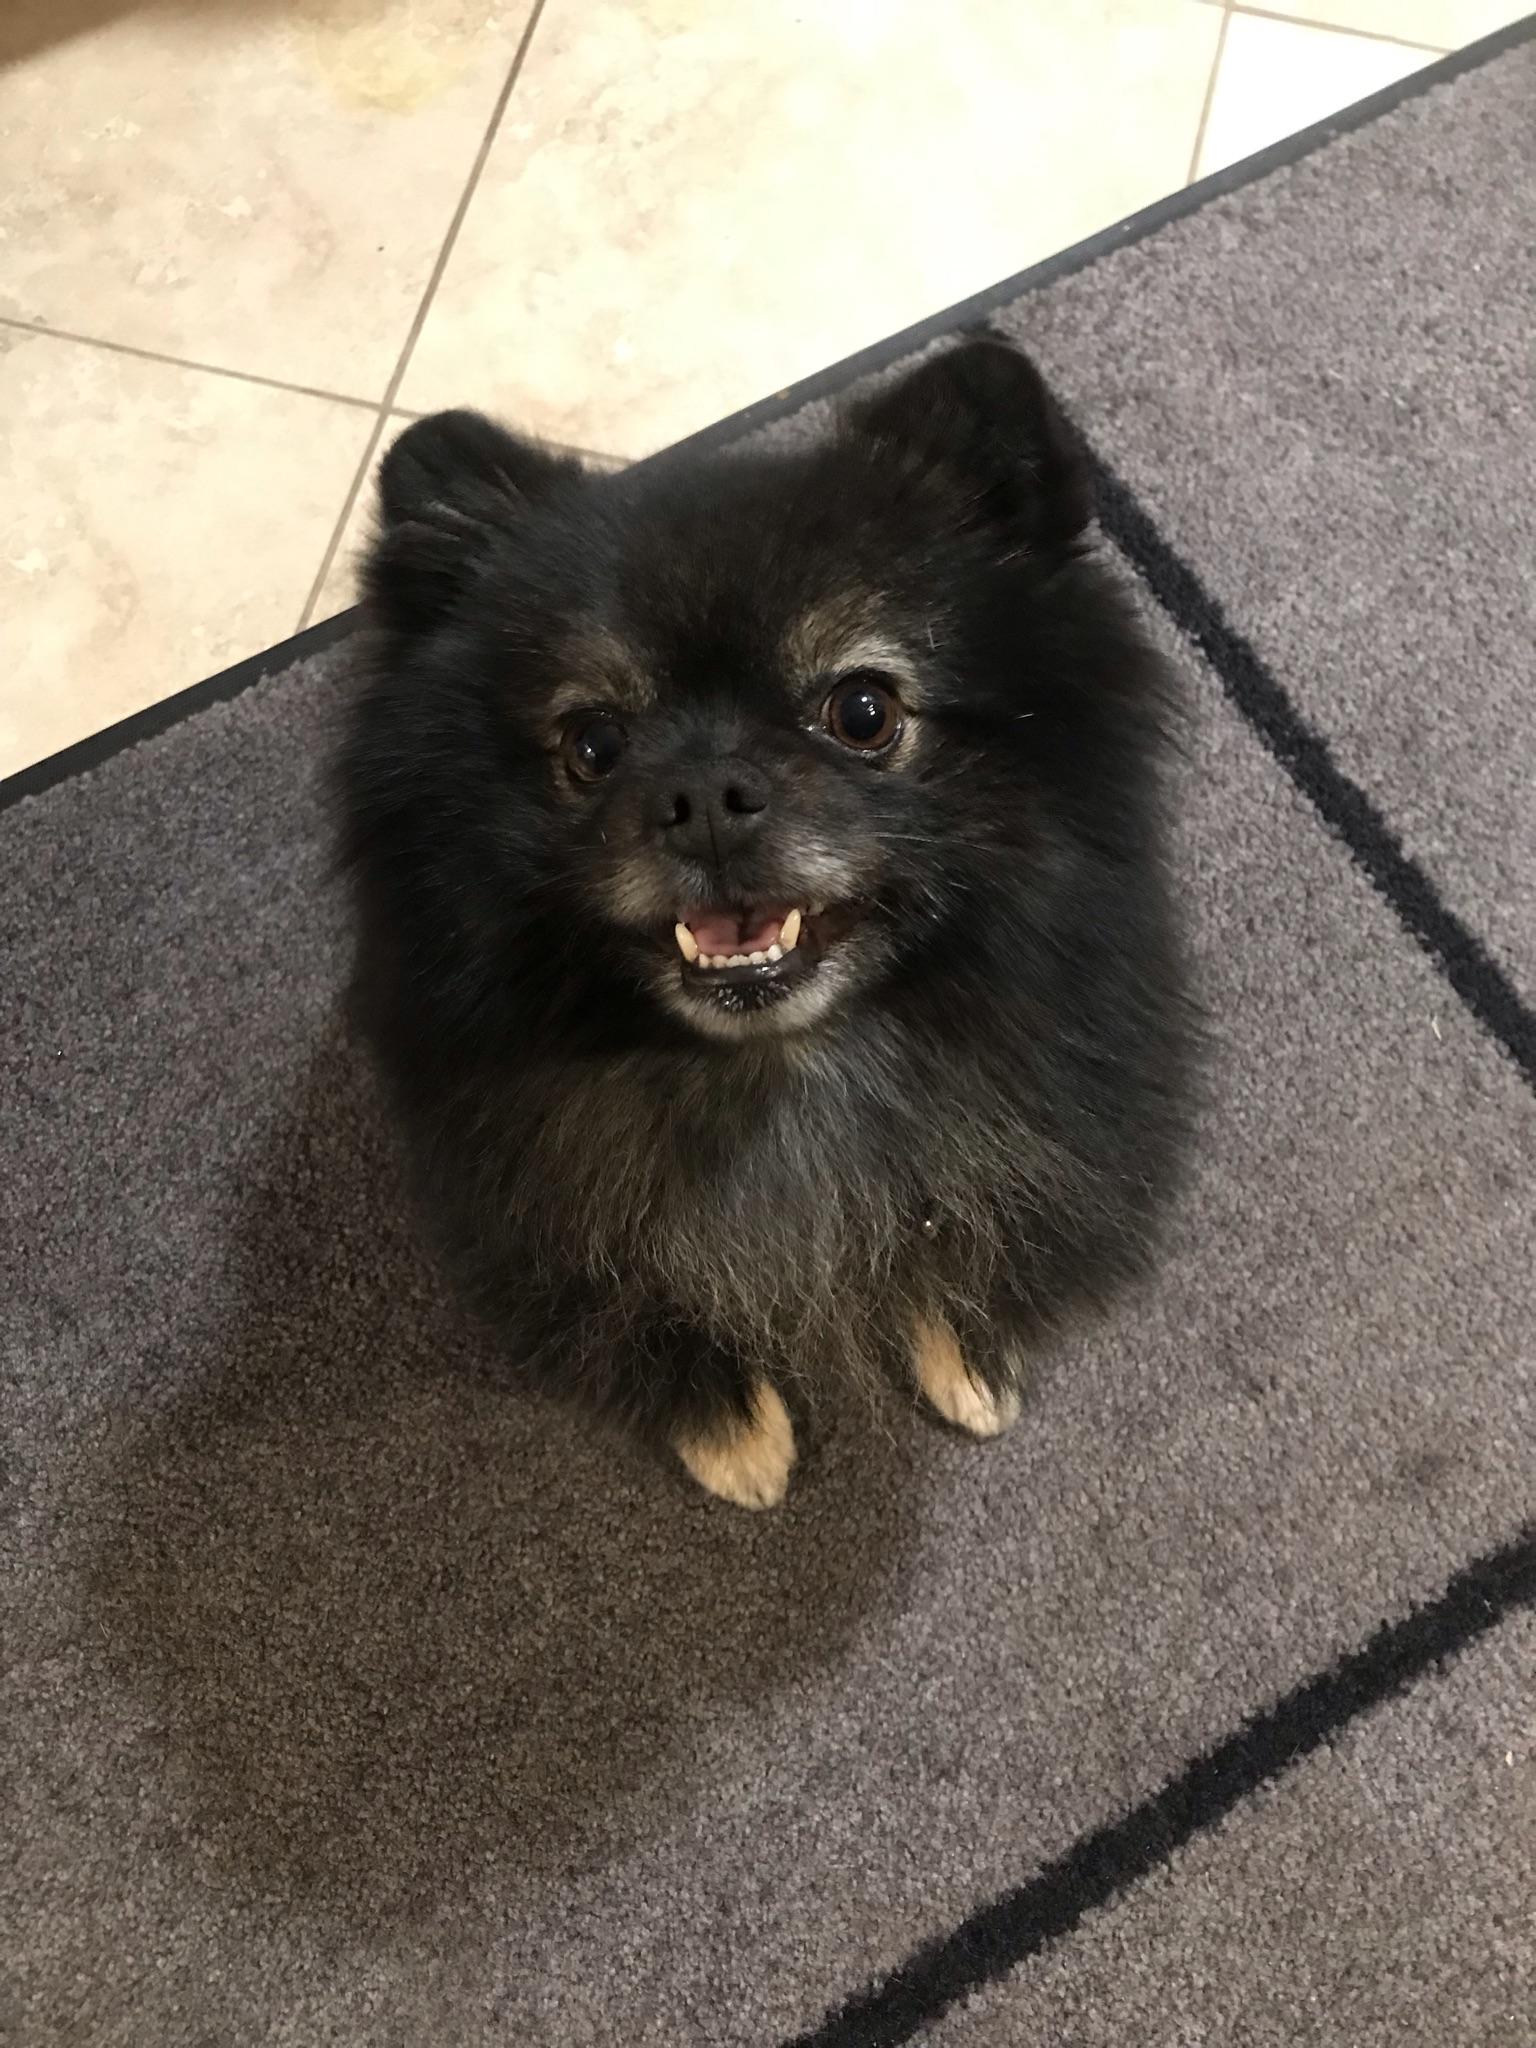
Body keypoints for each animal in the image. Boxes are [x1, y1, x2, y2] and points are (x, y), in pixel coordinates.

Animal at [335, 336, 1191, 1509]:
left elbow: (964, 1206)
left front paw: (968, 1340)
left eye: (863, 710)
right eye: (594, 743)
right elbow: (624, 1285)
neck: (781, 1072)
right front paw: (723, 1419)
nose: (705, 793)